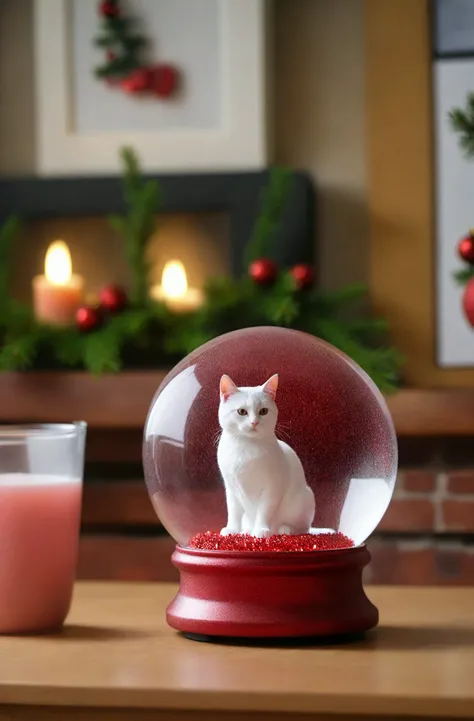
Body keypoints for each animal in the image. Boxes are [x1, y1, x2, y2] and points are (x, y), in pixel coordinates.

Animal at [143, 326, 398, 552]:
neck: (245, 450)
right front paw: (233, 531)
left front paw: (262, 532)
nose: (254, 422)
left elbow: (264, 511)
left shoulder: (271, 488)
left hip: (305, 498)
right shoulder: (231, 487)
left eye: (263, 411)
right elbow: (233, 511)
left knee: (301, 528)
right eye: (242, 412)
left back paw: (281, 530)